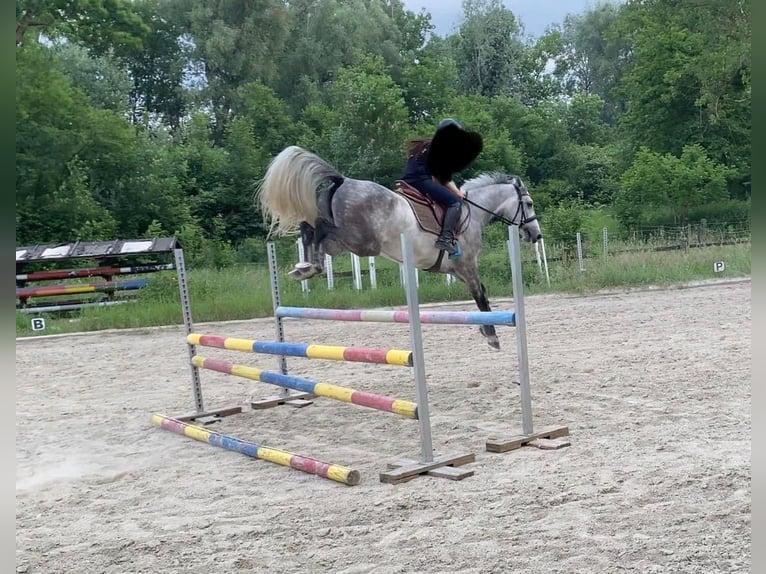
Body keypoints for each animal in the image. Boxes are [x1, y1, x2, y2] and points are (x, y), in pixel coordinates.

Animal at [255, 145, 544, 352]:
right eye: (529, 204)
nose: (536, 234)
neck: (473, 214)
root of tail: (342, 180)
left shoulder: (457, 270)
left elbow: (480, 294)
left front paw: (485, 330)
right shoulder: (467, 266)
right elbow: (481, 295)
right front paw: (492, 336)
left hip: (340, 245)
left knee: (311, 229)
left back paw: (306, 267)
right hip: (361, 242)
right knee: (320, 227)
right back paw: (308, 266)